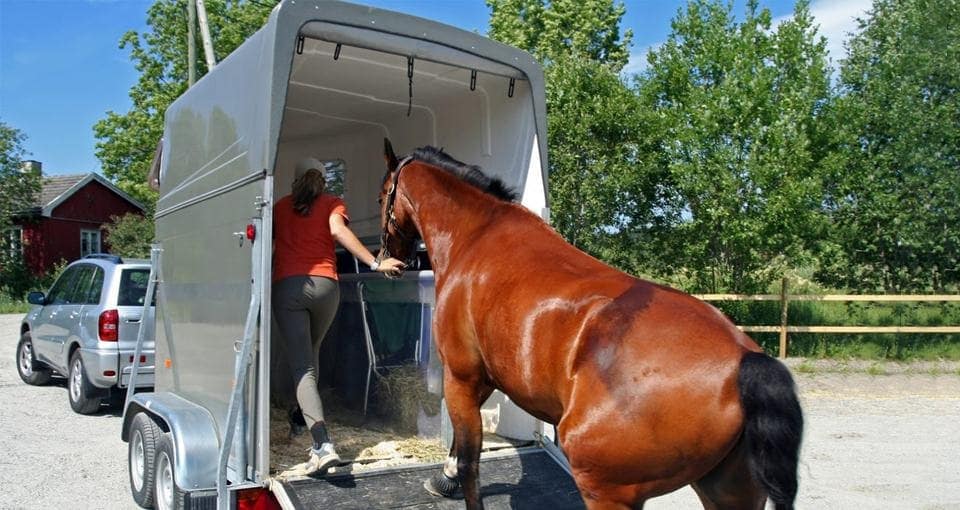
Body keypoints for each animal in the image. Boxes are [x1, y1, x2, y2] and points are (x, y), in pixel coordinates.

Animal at [375, 139, 803, 510]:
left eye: (382, 197)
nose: (387, 257)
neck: (479, 234)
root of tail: (746, 361)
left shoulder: (461, 376)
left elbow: (469, 461)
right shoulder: (486, 376)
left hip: (607, 490)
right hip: (728, 491)